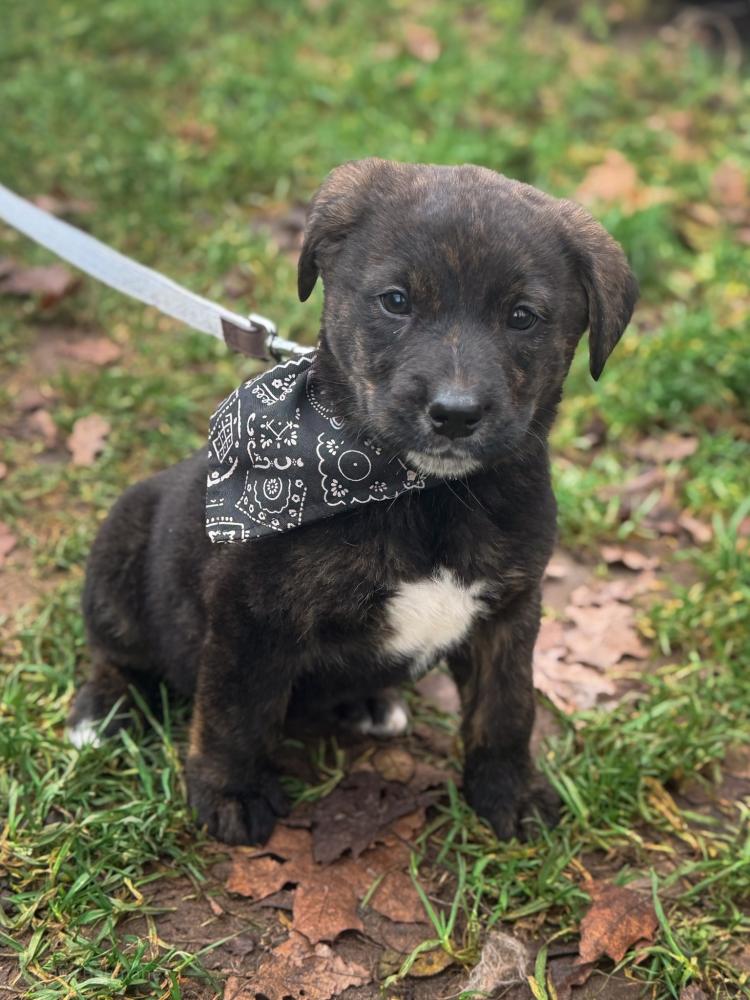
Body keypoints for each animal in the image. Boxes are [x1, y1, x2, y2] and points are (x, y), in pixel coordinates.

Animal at [68, 159, 638, 845]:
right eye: (396, 301)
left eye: (523, 317)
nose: (454, 414)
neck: (424, 494)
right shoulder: (247, 612)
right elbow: (234, 712)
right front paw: (230, 792)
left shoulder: (509, 611)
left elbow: (506, 708)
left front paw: (509, 791)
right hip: (120, 543)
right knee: (115, 651)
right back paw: (102, 711)